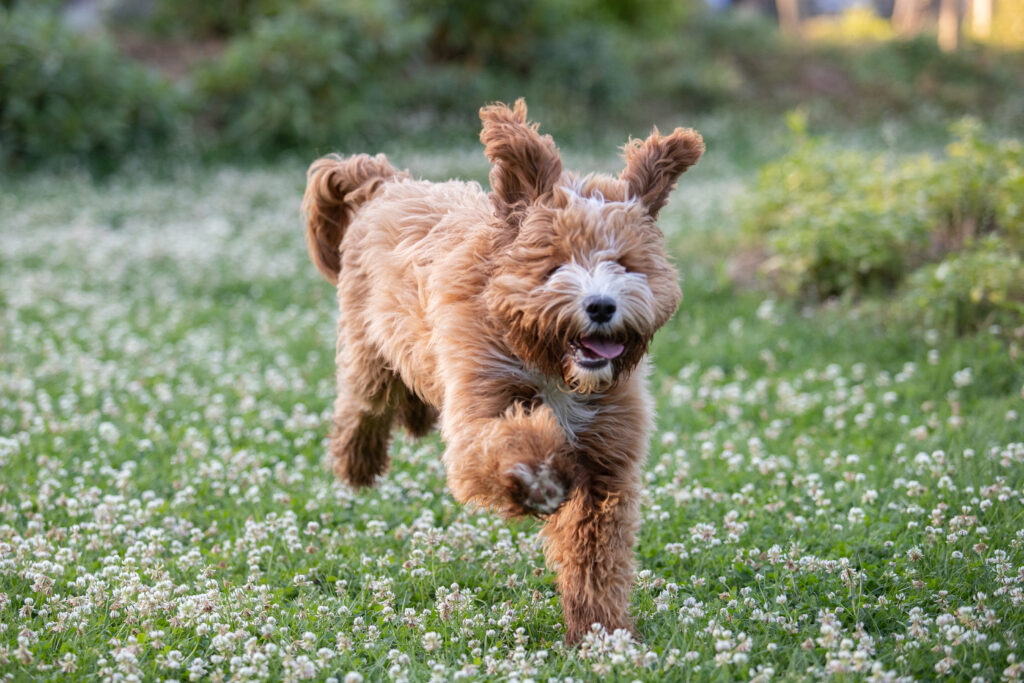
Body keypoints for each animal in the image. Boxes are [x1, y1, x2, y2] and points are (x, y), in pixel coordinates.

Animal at [303, 98, 704, 643]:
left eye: (625, 264)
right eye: (556, 264)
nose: (601, 305)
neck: (549, 360)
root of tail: (388, 182)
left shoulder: (607, 460)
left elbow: (596, 557)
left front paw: (600, 632)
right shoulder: (480, 404)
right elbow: (503, 444)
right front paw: (538, 479)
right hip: (370, 349)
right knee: (363, 406)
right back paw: (357, 466)